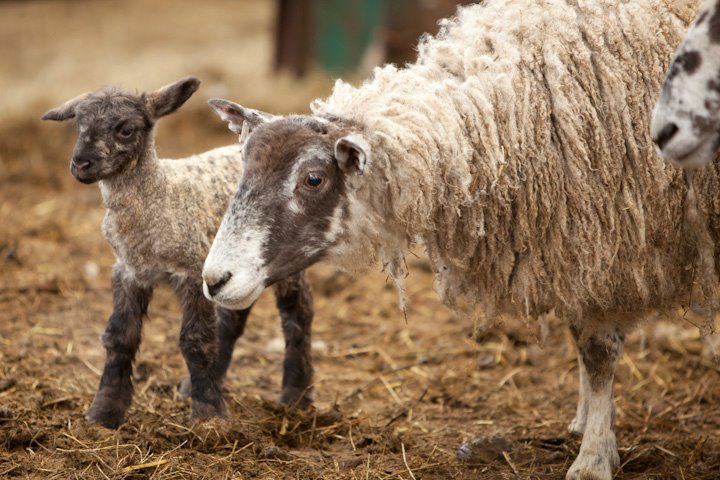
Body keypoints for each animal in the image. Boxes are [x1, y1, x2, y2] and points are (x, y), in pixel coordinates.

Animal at [41, 77, 315, 429]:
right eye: (79, 124)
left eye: (126, 129)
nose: (80, 164)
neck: (159, 195)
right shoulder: (129, 270)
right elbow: (119, 337)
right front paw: (104, 411)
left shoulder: (191, 268)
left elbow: (195, 341)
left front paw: (208, 414)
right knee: (233, 317)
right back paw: (197, 385)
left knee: (298, 313)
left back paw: (296, 394)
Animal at [199, 1, 712, 478]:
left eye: (312, 179)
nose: (215, 279)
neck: (521, 112)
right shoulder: (578, 249)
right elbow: (584, 342)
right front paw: (589, 426)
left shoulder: (608, 248)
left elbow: (599, 353)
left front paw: (593, 460)